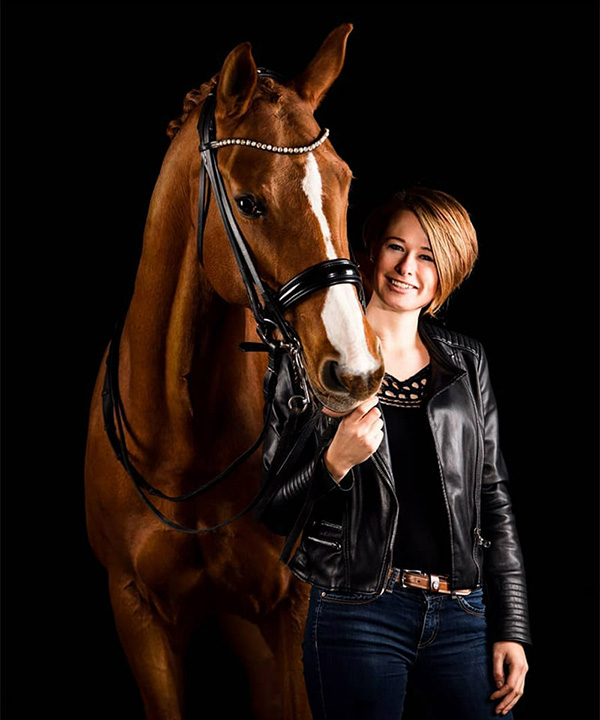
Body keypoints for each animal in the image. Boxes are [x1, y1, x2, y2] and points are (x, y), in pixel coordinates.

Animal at [84, 23, 383, 719]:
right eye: (249, 202)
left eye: (345, 183)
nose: (357, 372)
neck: (182, 442)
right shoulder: (137, 614)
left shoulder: (288, 611)